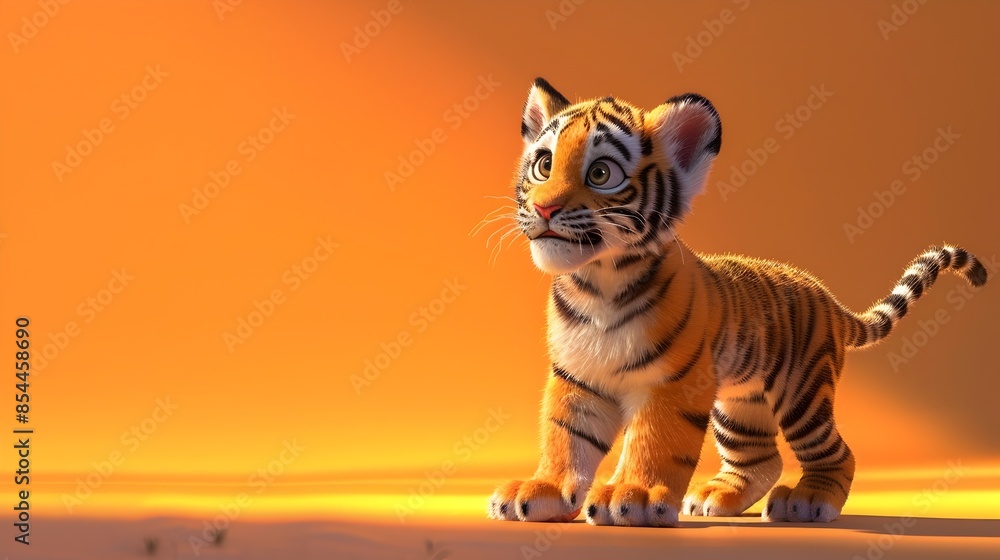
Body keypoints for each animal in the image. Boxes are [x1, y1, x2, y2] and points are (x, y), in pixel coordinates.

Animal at [486, 77, 989, 527]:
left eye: (601, 173)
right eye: (544, 164)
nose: (544, 208)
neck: (597, 283)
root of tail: (826, 295)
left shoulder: (673, 382)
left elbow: (654, 441)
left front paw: (633, 497)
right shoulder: (578, 377)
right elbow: (565, 438)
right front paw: (542, 491)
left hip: (803, 393)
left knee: (837, 453)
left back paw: (809, 501)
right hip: (741, 403)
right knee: (761, 459)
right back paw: (716, 497)